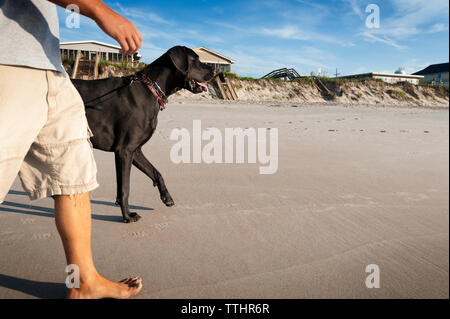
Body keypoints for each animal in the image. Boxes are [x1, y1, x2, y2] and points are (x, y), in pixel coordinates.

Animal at [72, 46, 214, 224]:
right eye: (195, 60)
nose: (214, 70)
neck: (151, 89)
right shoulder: (124, 150)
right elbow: (125, 188)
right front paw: (127, 216)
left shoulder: (135, 150)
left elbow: (156, 173)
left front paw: (166, 197)